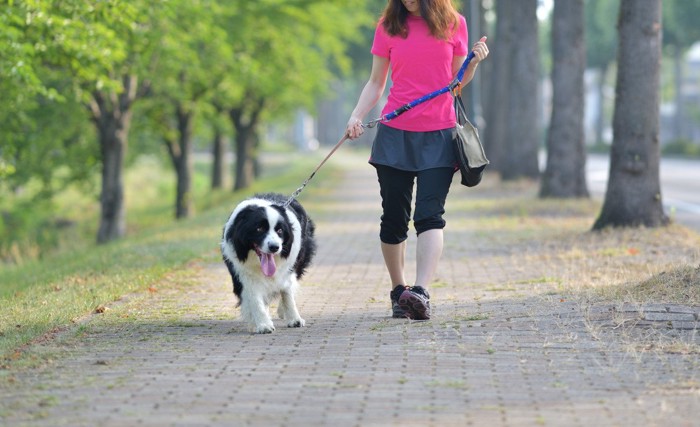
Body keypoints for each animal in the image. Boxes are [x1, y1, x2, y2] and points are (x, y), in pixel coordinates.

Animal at [220, 193, 316, 334]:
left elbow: (287, 293)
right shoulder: (243, 273)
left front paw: (294, 319)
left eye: (280, 230)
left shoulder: (287, 269)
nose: (275, 247)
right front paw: (263, 324)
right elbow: (255, 298)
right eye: (259, 228)